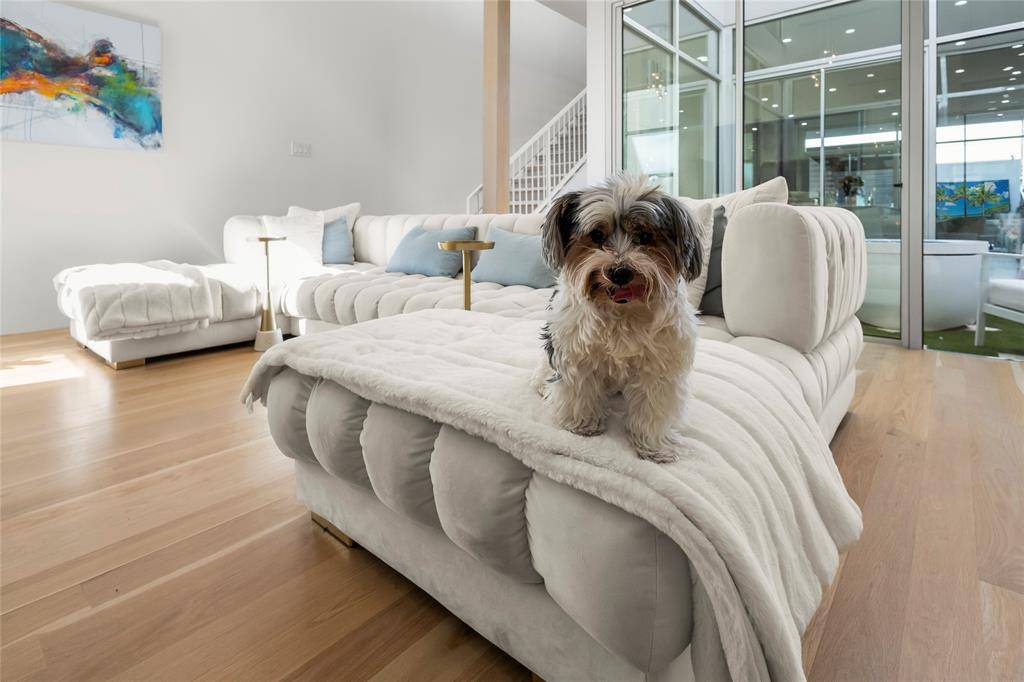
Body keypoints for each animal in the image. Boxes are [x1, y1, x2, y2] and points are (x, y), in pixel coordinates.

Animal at [533, 173, 703, 463]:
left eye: (645, 236)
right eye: (596, 235)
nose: (619, 272)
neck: (624, 310)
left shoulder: (660, 366)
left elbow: (653, 408)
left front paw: (654, 446)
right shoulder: (577, 354)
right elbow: (578, 391)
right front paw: (582, 425)